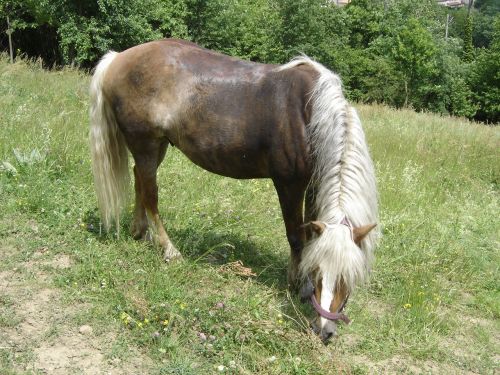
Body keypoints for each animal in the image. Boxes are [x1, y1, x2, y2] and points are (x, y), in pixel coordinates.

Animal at [90, 39, 378, 344]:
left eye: (349, 276)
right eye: (321, 273)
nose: (325, 331)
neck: (309, 115)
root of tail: (118, 58)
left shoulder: (313, 184)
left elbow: (311, 235)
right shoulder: (288, 183)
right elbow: (295, 236)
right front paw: (296, 284)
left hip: (157, 145)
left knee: (139, 182)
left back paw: (139, 231)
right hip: (144, 143)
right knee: (151, 196)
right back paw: (170, 250)